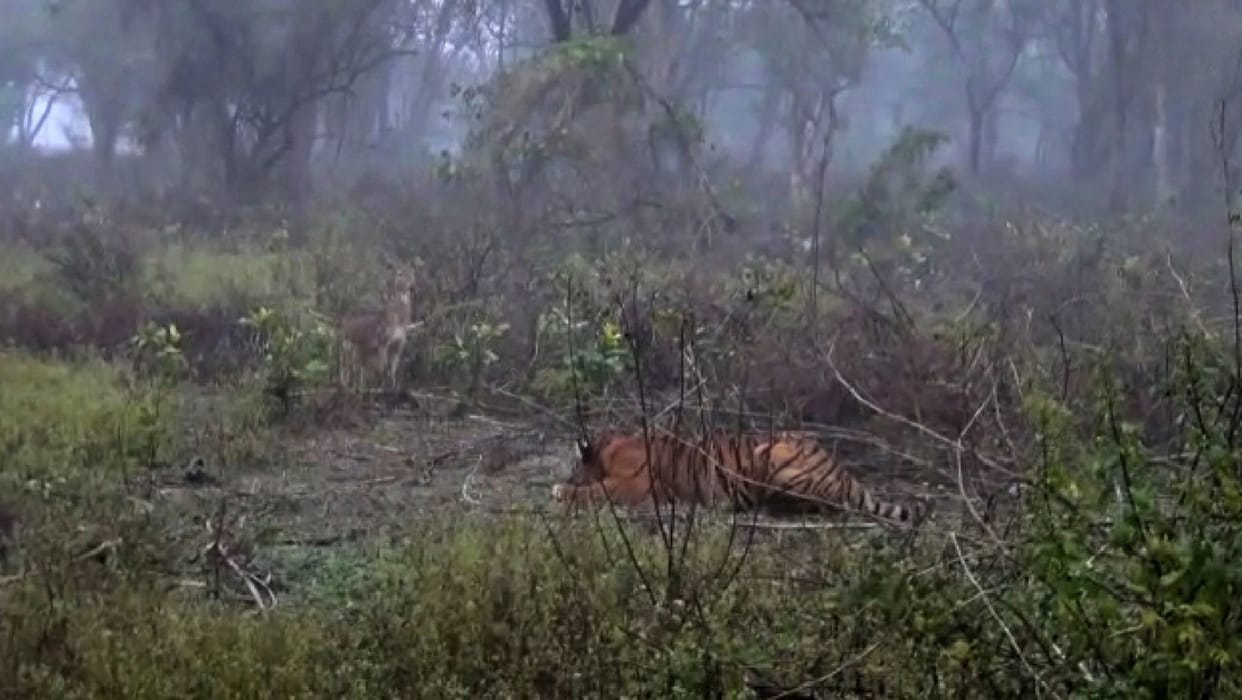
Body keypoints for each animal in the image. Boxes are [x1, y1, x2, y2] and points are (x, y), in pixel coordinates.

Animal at [551, 428, 925, 526]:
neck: (607, 449)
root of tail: (845, 473)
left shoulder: (635, 484)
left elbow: (593, 491)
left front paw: (560, 490)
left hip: (774, 454)